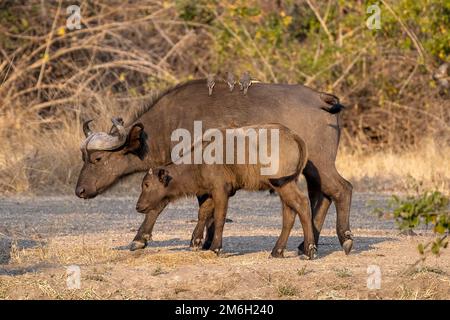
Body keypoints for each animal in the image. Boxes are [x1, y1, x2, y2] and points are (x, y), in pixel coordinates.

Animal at [74, 80, 356, 255]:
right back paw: (306, 243)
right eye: (83, 156)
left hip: (320, 163)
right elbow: (200, 207)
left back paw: (345, 238)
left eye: (97, 159)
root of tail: (320, 98)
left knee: (341, 189)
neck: (169, 124)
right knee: (320, 195)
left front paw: (146, 239)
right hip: (308, 169)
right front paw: (203, 240)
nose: (80, 190)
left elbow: (167, 205)